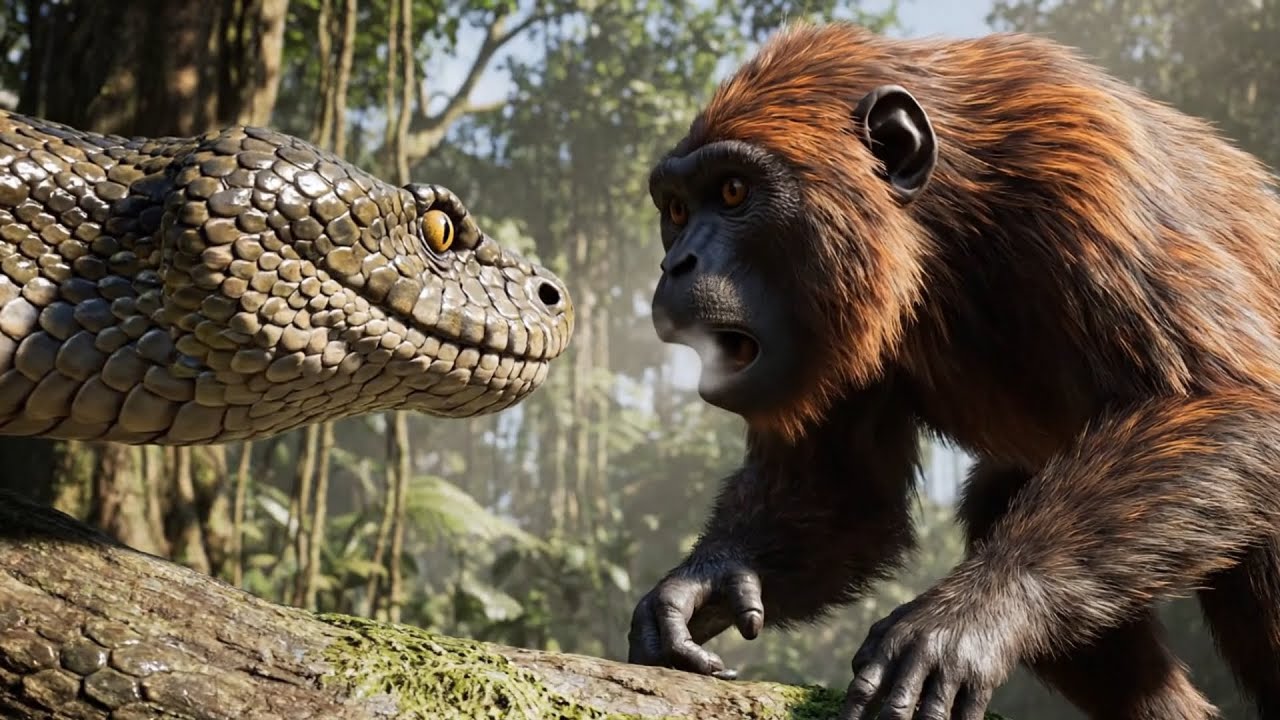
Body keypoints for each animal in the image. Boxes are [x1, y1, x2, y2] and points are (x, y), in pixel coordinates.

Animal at [625, 21, 1280, 720]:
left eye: (732, 191)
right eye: (675, 211)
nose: (677, 263)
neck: (942, 214)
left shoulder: (1092, 179)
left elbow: (1230, 402)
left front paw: (970, 617)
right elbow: (842, 496)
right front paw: (708, 579)